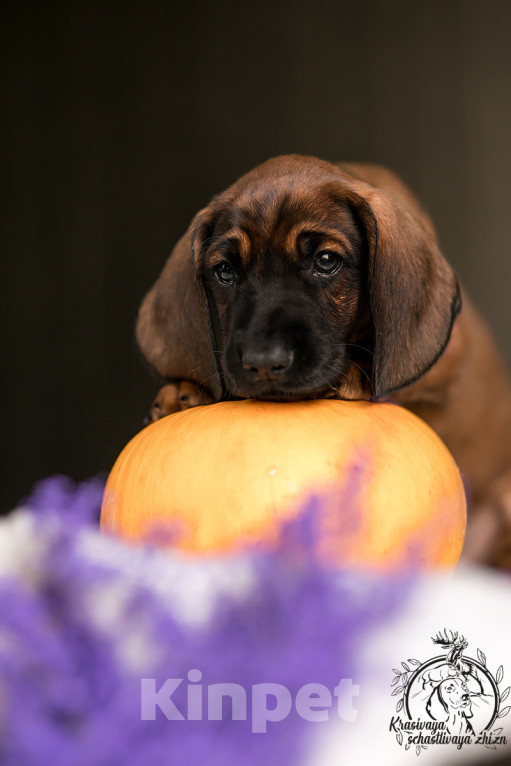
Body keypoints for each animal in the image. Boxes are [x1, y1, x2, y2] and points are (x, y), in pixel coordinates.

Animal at [137, 156, 511, 568]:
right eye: (225, 271)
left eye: (326, 261)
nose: (264, 363)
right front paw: (181, 393)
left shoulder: (450, 357)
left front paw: (351, 376)